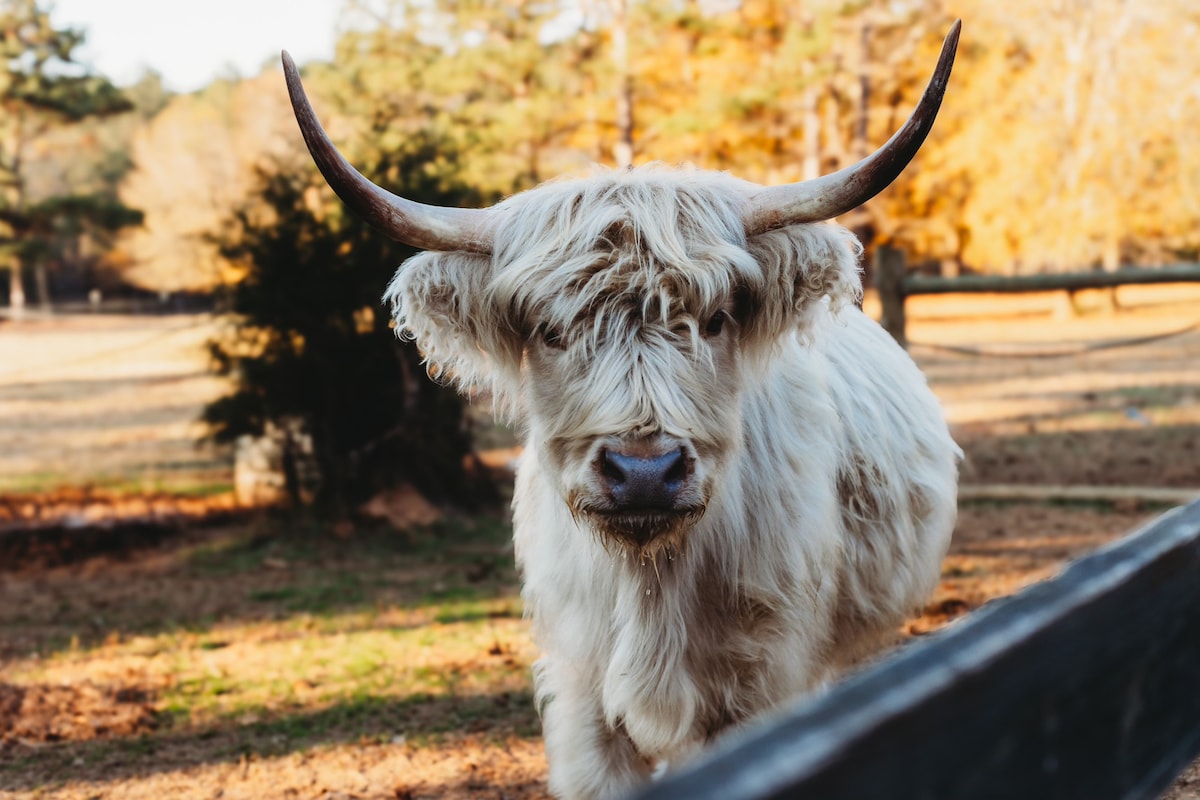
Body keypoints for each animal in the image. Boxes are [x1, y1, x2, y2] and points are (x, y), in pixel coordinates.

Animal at [285, 20, 960, 800]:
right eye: (551, 331)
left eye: (716, 320)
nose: (644, 471)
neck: (651, 585)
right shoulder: (582, 691)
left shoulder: (763, 675)